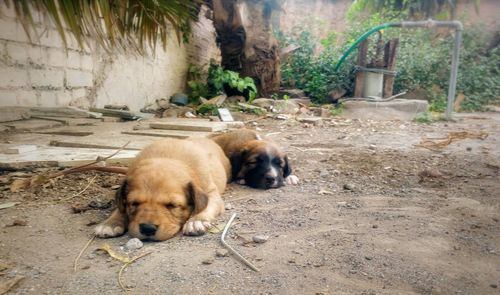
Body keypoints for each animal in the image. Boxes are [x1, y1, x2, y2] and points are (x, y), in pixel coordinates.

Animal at [94, 138, 231, 242]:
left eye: (172, 205)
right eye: (134, 203)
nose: (147, 228)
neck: (166, 157)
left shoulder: (211, 191)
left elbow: (206, 206)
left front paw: (197, 220)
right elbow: (120, 208)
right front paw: (110, 223)